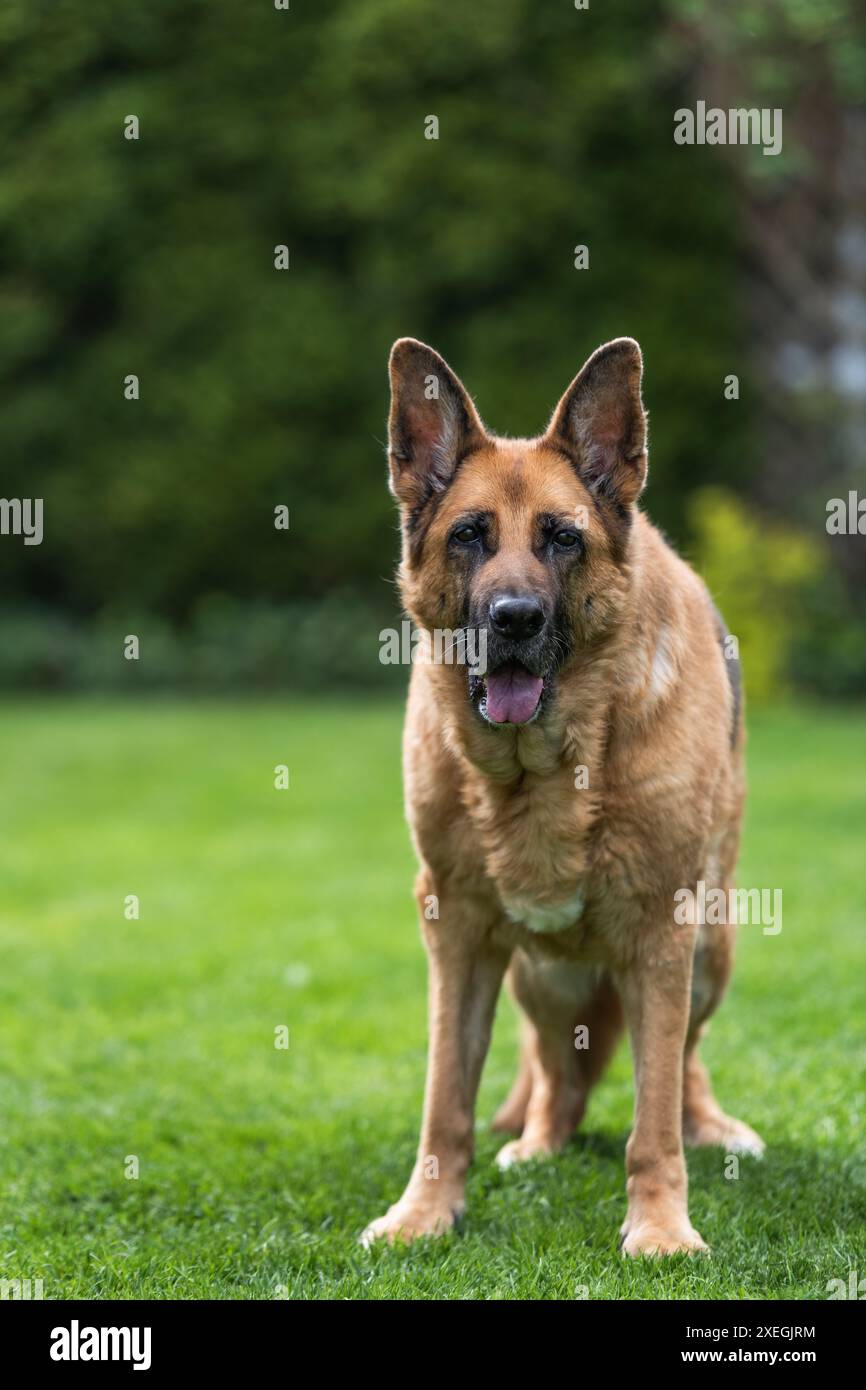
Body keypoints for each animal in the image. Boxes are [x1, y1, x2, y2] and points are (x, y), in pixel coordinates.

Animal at [366, 339, 767, 1262]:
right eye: (470, 536)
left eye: (562, 539)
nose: (514, 619)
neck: (541, 771)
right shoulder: (456, 930)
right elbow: (446, 1101)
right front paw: (425, 1214)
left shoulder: (664, 932)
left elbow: (651, 1117)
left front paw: (660, 1227)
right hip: (539, 978)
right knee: (559, 1080)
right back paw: (539, 1142)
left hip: (712, 946)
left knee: (682, 1063)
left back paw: (711, 1126)